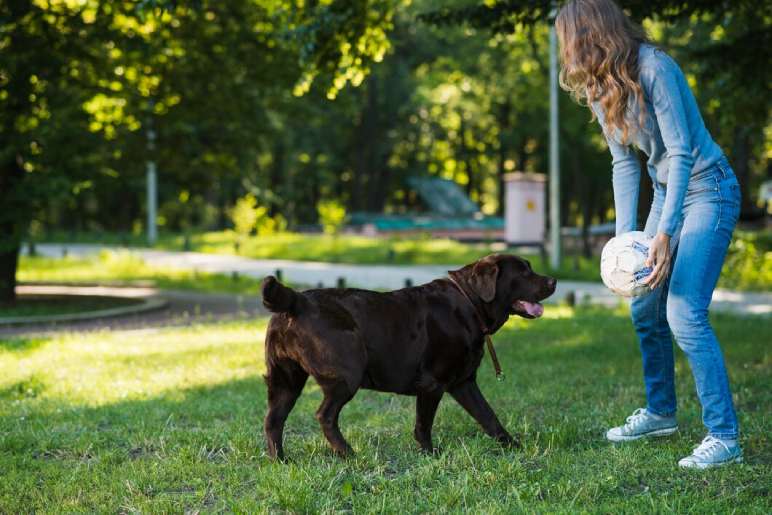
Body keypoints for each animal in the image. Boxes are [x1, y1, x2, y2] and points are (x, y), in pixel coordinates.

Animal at [260, 254, 556, 460]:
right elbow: (423, 424)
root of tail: (296, 301)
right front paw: (430, 454)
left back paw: (281, 461)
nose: (553, 281)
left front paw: (513, 446)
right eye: (523, 272)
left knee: (273, 419)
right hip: (346, 374)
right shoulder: (432, 383)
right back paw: (348, 454)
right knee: (325, 415)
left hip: (286, 380)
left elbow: (488, 416)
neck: (470, 303)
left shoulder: (464, 383)